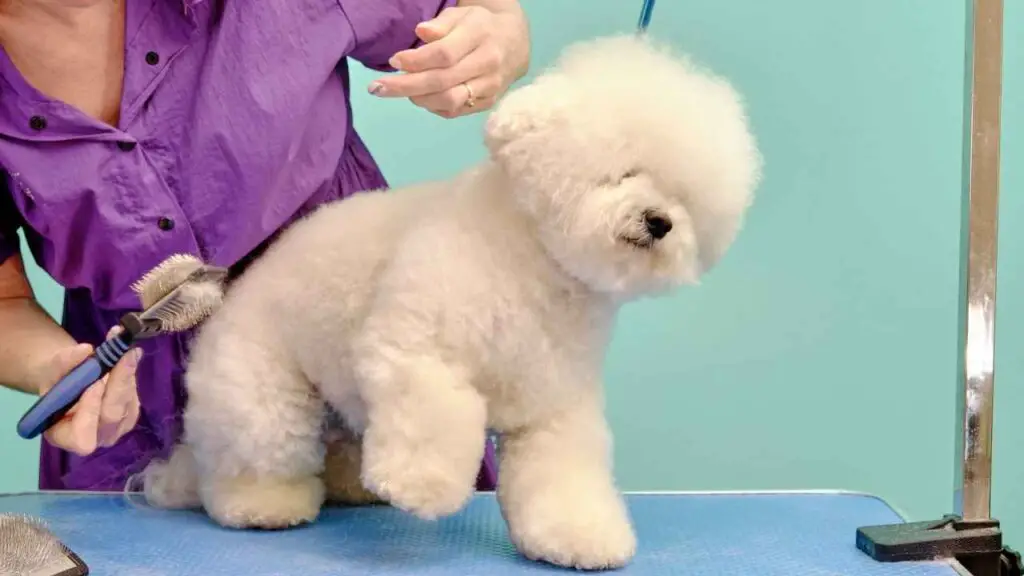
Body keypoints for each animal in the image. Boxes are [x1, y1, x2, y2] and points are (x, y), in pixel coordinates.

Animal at [140, 33, 761, 565]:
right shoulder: (417, 351)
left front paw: (578, 537)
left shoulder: (553, 407)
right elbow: (435, 413)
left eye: (683, 198)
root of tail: (231, 294)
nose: (660, 221)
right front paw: (418, 485)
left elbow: (562, 474)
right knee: (251, 461)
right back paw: (264, 505)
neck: (536, 267)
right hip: (262, 394)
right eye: (623, 172)